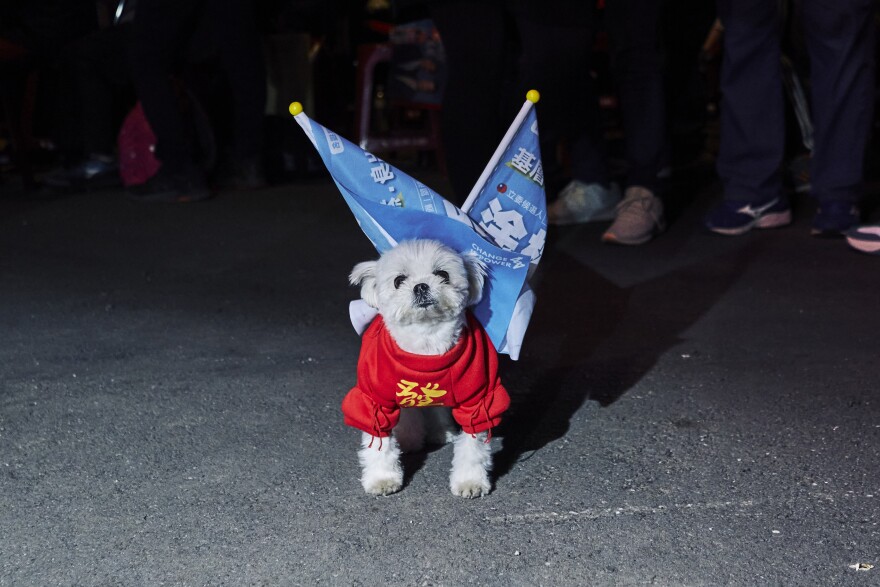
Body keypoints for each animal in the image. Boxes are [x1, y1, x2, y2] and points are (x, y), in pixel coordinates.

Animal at [342, 241, 508, 498]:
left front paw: (470, 481)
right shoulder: (375, 400)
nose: (421, 286)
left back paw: (441, 432)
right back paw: (409, 438)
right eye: (399, 280)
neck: (426, 342)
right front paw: (382, 478)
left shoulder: (477, 401)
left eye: (443, 274)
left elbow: (472, 446)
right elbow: (379, 442)